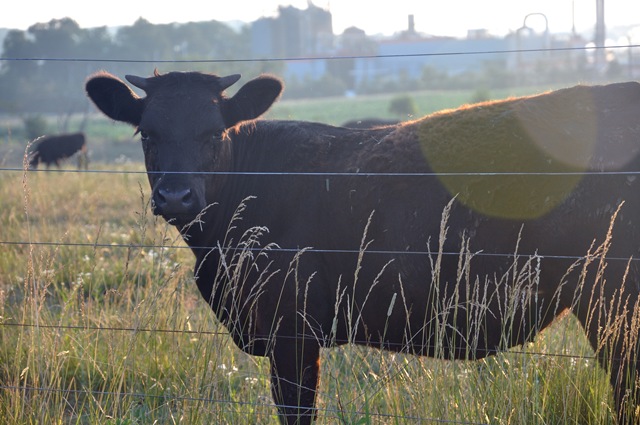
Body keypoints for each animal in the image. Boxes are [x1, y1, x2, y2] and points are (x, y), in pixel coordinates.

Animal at [85, 69, 640, 424]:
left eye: (213, 132)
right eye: (146, 133)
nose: (175, 195)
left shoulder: (292, 332)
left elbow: (297, 412)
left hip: (613, 304)